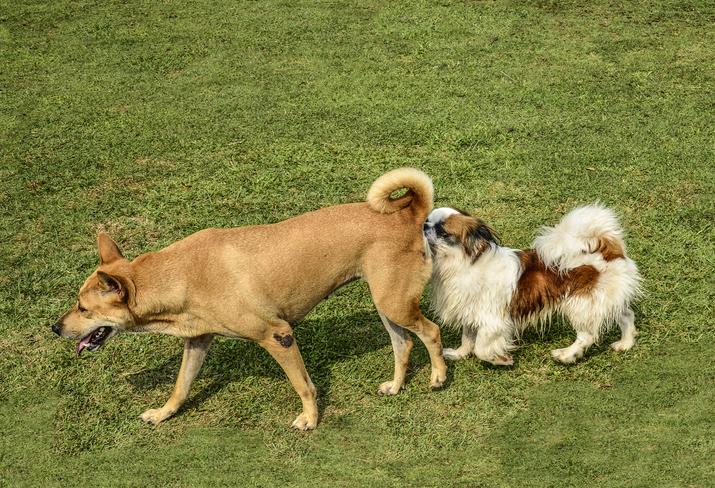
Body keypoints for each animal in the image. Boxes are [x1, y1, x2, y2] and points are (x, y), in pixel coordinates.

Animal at [53, 168, 448, 430]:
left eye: (83, 308)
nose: (56, 328)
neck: (180, 274)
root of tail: (408, 213)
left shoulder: (279, 336)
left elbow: (303, 385)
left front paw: (310, 419)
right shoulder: (198, 341)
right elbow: (180, 386)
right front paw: (163, 413)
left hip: (394, 302)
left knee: (431, 332)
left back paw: (438, 377)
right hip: (386, 304)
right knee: (403, 344)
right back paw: (395, 386)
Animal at [426, 204, 644, 364]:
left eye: (442, 231)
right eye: (428, 220)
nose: (424, 225)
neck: (464, 264)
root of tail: (608, 249)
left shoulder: (493, 321)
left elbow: (481, 348)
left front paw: (501, 360)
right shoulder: (469, 313)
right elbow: (468, 338)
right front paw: (458, 354)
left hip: (579, 304)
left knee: (587, 335)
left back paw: (566, 355)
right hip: (602, 298)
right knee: (626, 314)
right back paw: (625, 344)